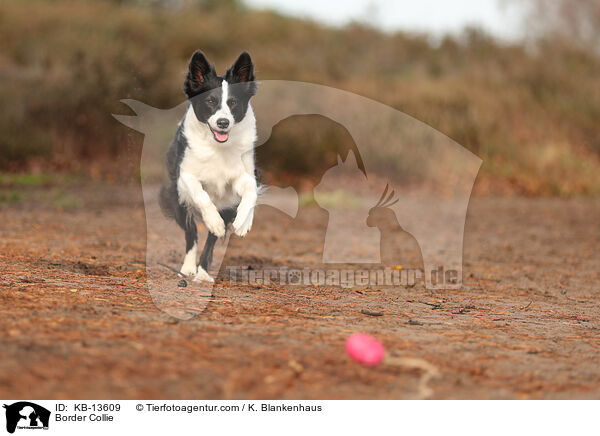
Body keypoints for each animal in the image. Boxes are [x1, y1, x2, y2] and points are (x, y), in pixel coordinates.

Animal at [161, 51, 258, 282]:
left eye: (233, 102)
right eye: (210, 101)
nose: (223, 122)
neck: (218, 147)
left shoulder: (242, 176)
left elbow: (251, 191)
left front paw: (244, 221)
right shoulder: (185, 176)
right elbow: (201, 195)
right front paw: (212, 220)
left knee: (212, 240)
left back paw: (203, 273)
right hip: (179, 202)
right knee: (192, 234)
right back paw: (188, 268)